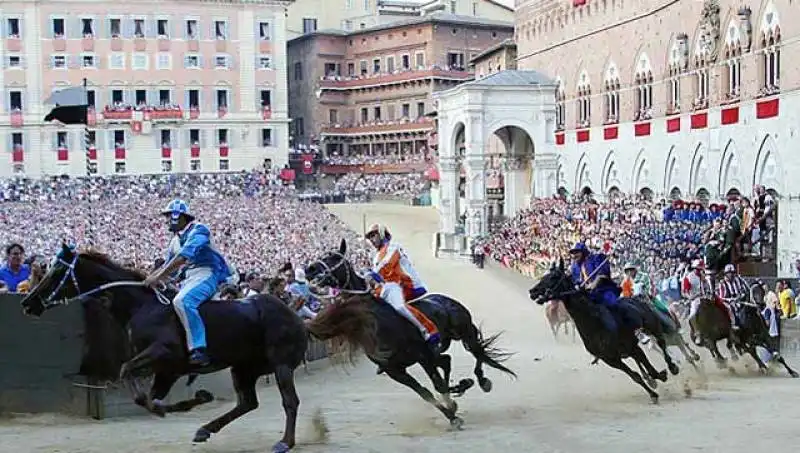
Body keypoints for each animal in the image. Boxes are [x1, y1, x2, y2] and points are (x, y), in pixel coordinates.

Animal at [19, 245, 306, 450]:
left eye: (57, 271)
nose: (28, 303)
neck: (143, 306)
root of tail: (293, 314)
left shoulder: (163, 355)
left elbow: (128, 375)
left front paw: (186, 402)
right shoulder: (168, 370)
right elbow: (150, 397)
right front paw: (197, 399)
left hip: (280, 364)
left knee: (290, 401)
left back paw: (285, 442)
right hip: (244, 368)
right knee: (247, 403)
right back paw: (205, 429)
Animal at [304, 240, 516, 428]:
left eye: (333, 257)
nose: (309, 269)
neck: (375, 322)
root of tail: (447, 301)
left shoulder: (422, 355)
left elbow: (437, 385)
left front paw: (453, 410)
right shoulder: (395, 370)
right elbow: (425, 393)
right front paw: (451, 412)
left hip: (463, 333)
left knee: (476, 352)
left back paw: (481, 381)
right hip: (440, 347)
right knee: (448, 360)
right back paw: (460, 389)